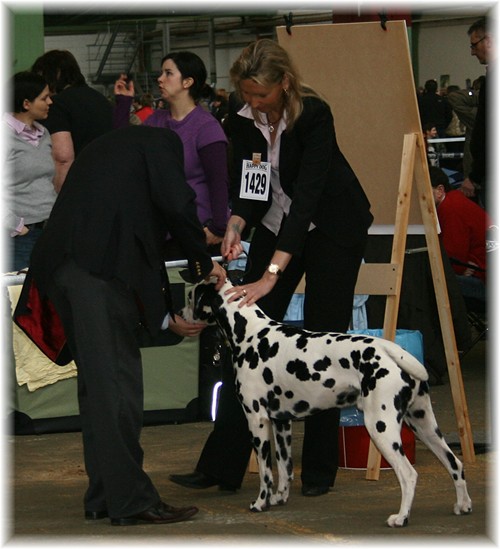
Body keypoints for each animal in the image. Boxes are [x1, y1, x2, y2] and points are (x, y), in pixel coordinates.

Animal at [181, 278, 472, 527]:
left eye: (190, 295)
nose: (181, 314)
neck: (251, 333)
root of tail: (390, 350)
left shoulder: (258, 420)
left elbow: (265, 472)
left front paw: (261, 503)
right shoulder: (281, 422)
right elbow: (285, 469)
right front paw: (279, 498)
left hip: (382, 428)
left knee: (409, 474)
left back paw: (401, 518)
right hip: (424, 425)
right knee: (455, 464)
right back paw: (463, 505)